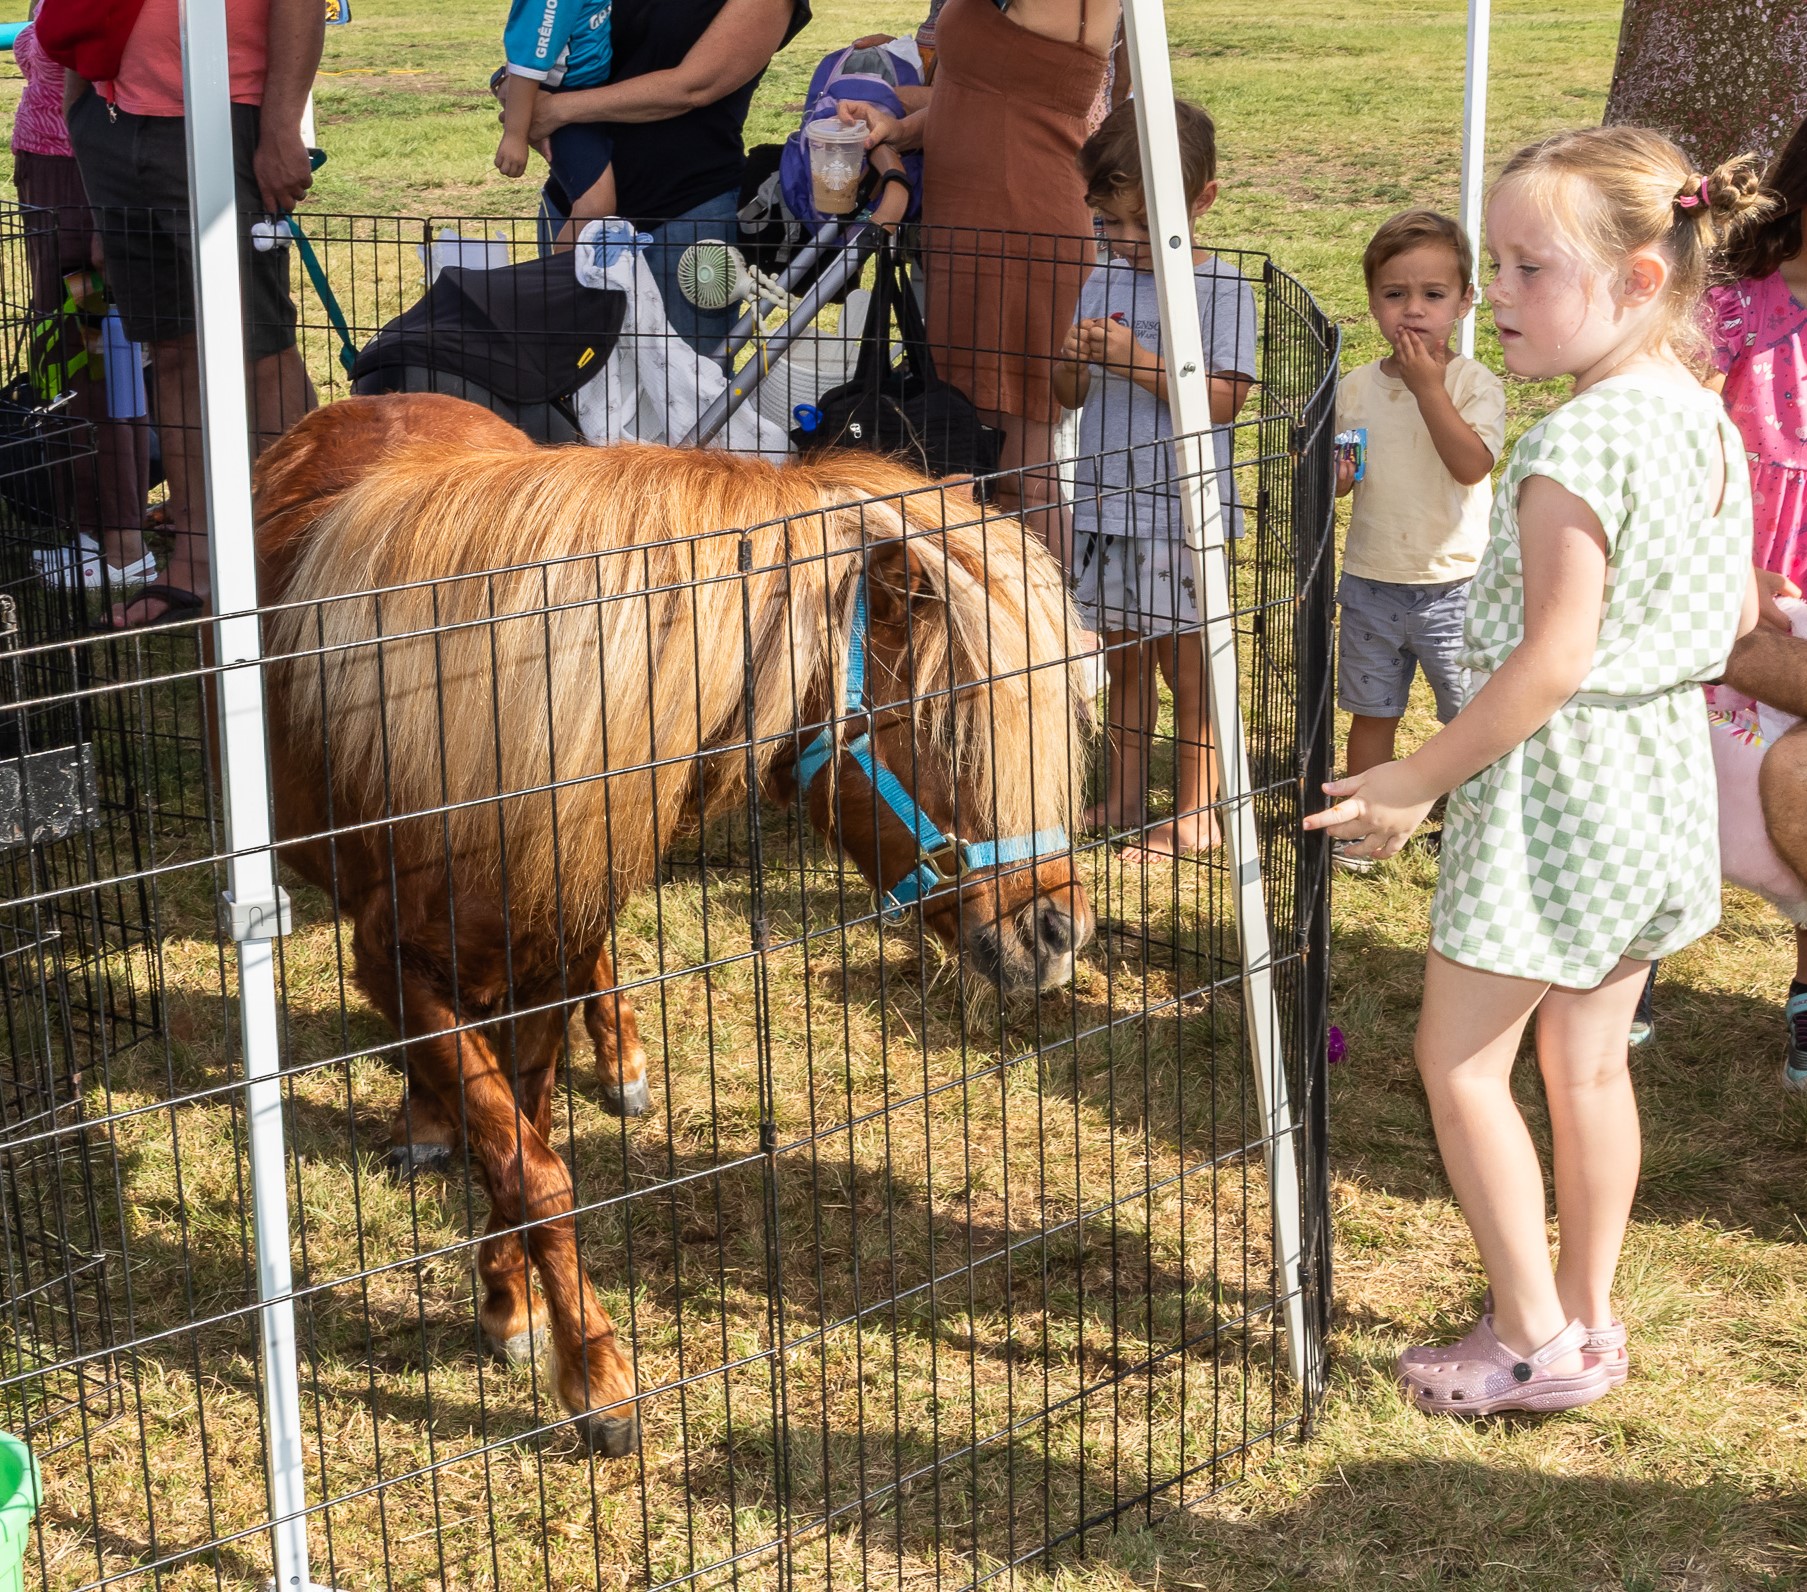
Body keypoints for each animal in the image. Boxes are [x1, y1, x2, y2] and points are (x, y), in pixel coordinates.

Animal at [252, 394, 1095, 1457]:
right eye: (946, 731)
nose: (1059, 931)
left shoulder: (546, 959)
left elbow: (528, 1140)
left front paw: (515, 1306)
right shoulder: (392, 970)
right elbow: (528, 1168)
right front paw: (594, 1375)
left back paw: (615, 1063)